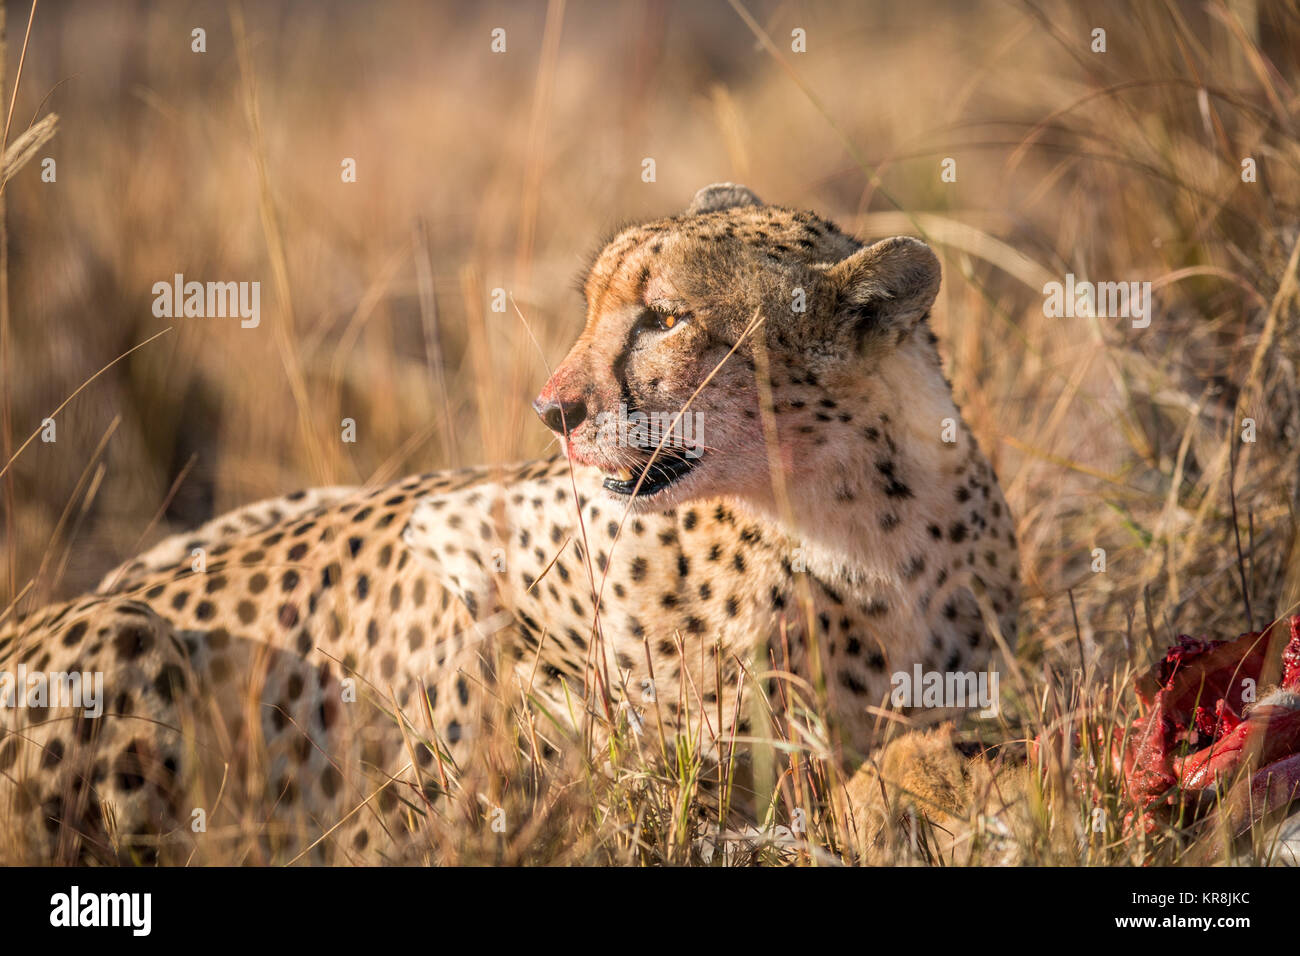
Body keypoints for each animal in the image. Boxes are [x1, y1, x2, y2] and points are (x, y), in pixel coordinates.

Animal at [0, 183, 1013, 863]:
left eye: (667, 318)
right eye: (595, 306)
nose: (552, 409)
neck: (862, 512)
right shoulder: (454, 542)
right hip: (121, 625)